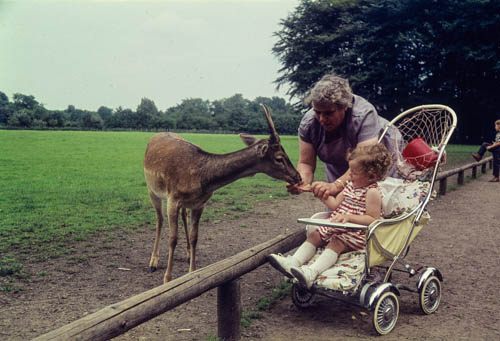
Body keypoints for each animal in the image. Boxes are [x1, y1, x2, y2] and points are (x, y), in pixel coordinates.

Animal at [143, 104, 302, 282]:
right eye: (279, 158)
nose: (298, 176)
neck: (200, 178)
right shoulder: (172, 199)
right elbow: (172, 238)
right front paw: (167, 279)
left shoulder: (199, 204)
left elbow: (194, 237)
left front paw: (192, 273)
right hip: (152, 190)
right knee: (159, 219)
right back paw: (153, 262)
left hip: (181, 203)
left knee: (182, 216)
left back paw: (187, 254)